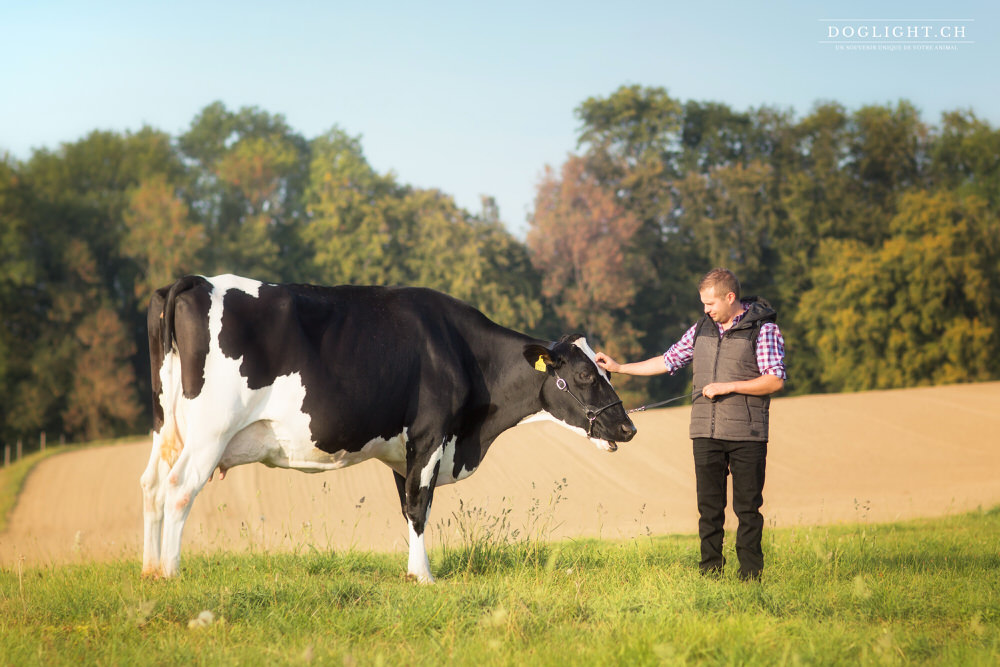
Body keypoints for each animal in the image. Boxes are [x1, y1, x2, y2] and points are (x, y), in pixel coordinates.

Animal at [141, 274, 636, 580]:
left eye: (606, 369)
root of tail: (195, 281)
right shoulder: (430, 435)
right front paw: (423, 575)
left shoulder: (404, 451)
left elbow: (407, 507)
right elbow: (420, 507)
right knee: (179, 488)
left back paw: (150, 571)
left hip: (167, 429)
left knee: (151, 485)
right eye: (586, 375)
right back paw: (172, 573)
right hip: (210, 432)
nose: (627, 428)